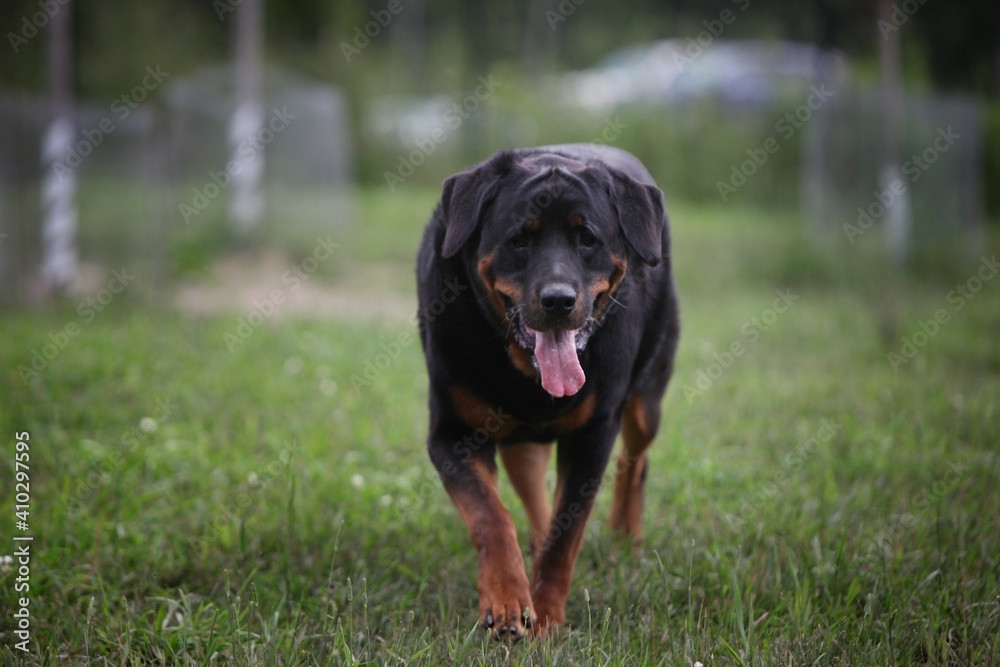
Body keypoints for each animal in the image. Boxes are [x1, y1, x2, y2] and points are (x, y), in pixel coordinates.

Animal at [414, 144, 680, 640]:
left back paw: (625, 538)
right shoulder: (452, 433)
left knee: (635, 461)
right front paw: (507, 599)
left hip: (645, 399)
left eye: (588, 239)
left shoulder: (595, 432)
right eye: (520, 239)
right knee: (532, 489)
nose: (558, 300)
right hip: (519, 438)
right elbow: (490, 515)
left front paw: (549, 617)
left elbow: (566, 533)